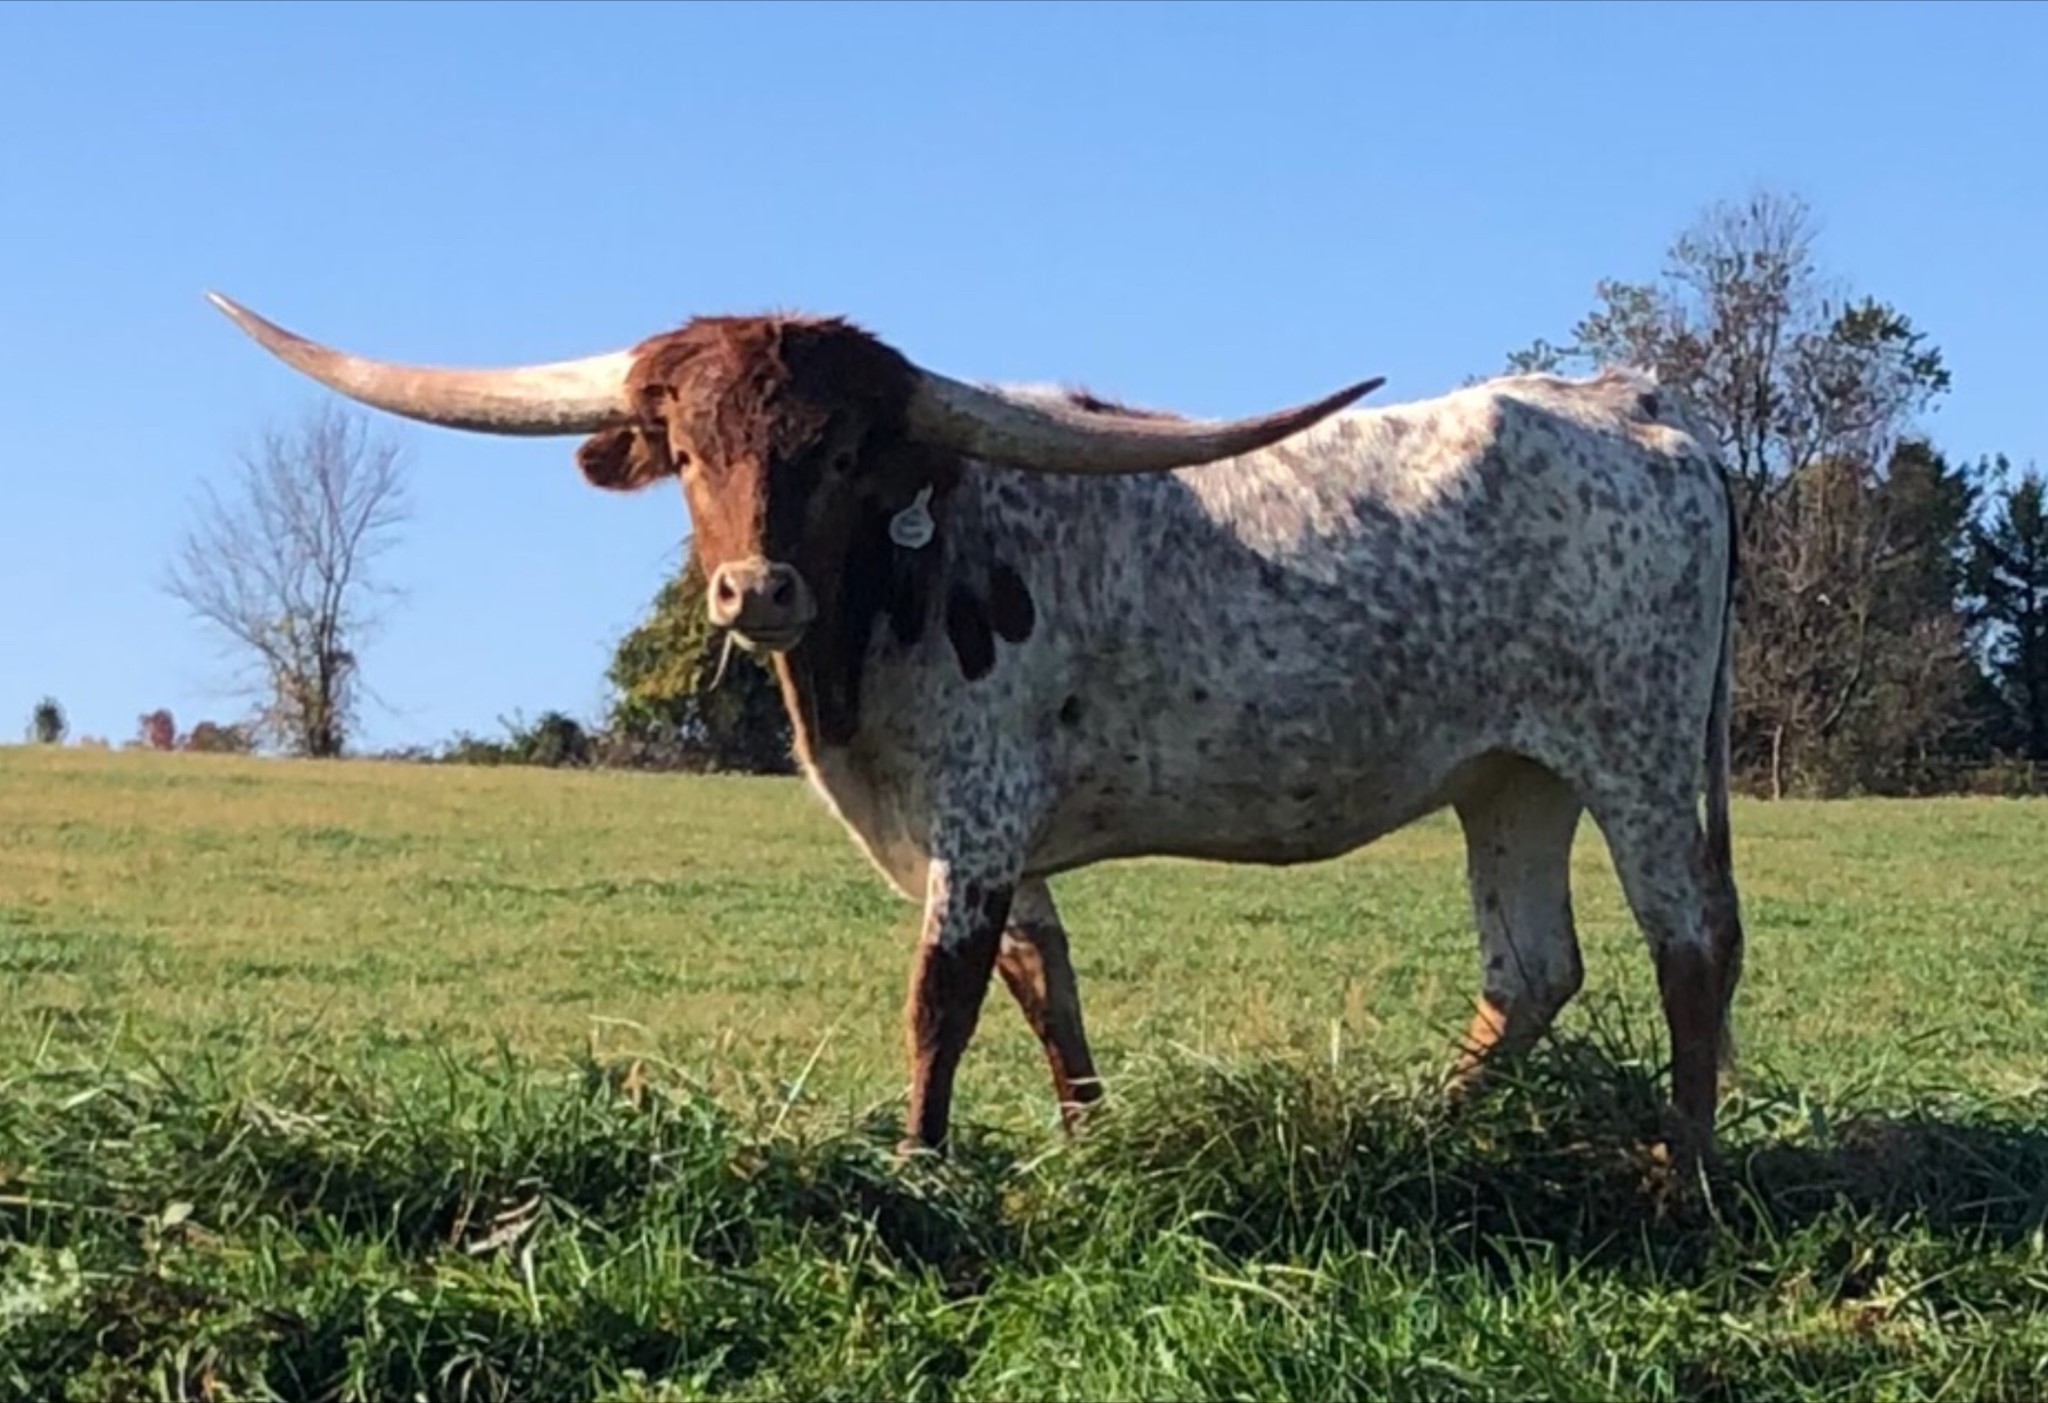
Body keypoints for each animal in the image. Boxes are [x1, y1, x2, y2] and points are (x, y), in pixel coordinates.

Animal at [206, 291, 1746, 1165]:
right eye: (690, 451)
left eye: (838, 452)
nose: (756, 587)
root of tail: (1641, 406)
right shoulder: (980, 837)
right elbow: (1041, 985)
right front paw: (1085, 1154)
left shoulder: (979, 814)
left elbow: (938, 1000)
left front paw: (918, 1171)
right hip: (1512, 774)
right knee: (1532, 970)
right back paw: (1420, 1130)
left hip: (1639, 752)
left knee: (1691, 948)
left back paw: (1679, 1178)